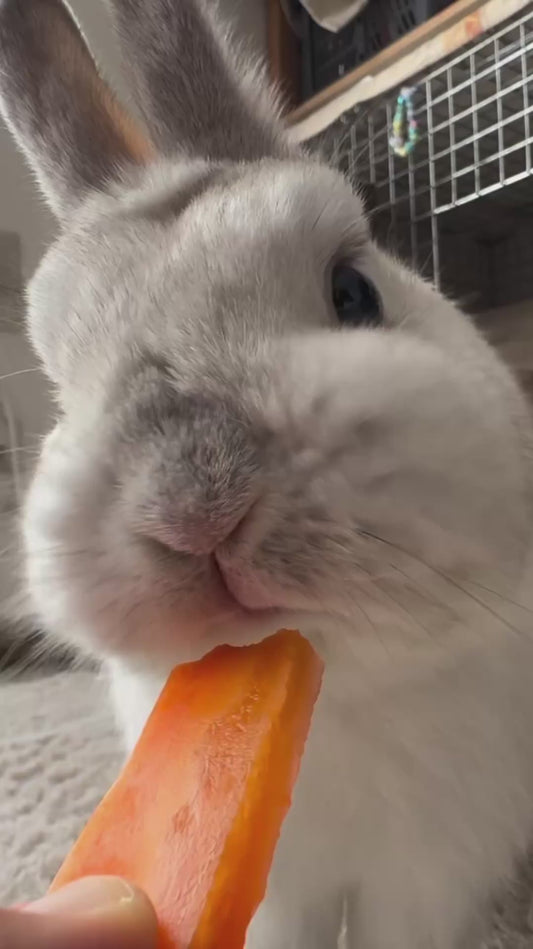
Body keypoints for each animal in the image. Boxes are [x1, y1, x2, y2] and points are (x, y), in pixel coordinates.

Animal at [2, 0, 533, 946]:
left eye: (353, 292)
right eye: (65, 391)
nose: (192, 511)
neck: (340, 690)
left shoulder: (425, 882)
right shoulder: (288, 894)